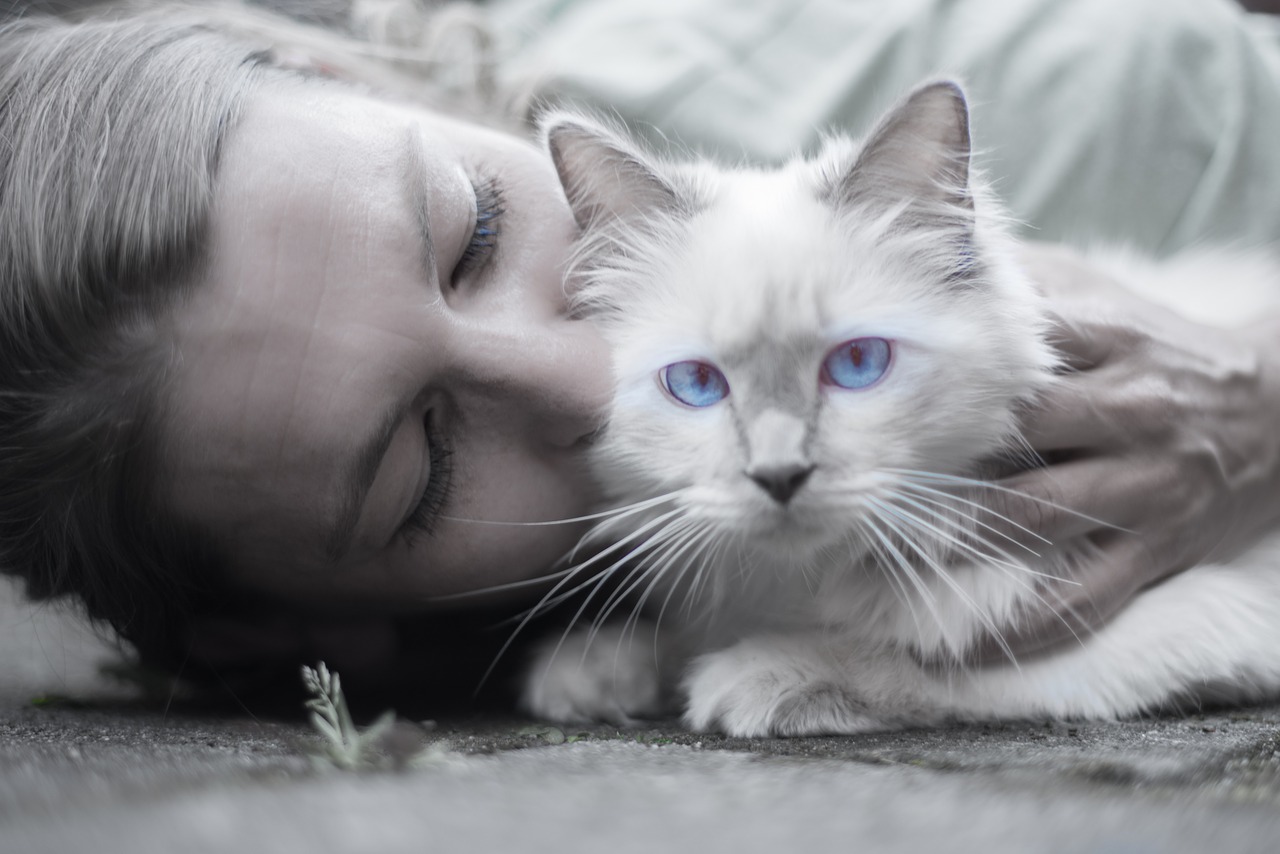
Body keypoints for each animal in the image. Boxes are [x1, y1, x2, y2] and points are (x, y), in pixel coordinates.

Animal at [517, 78, 1280, 737]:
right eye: (698, 384)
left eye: (858, 365)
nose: (779, 476)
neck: (795, 585)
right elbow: (671, 636)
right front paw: (592, 670)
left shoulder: (1182, 612)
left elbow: (933, 661)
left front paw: (755, 675)